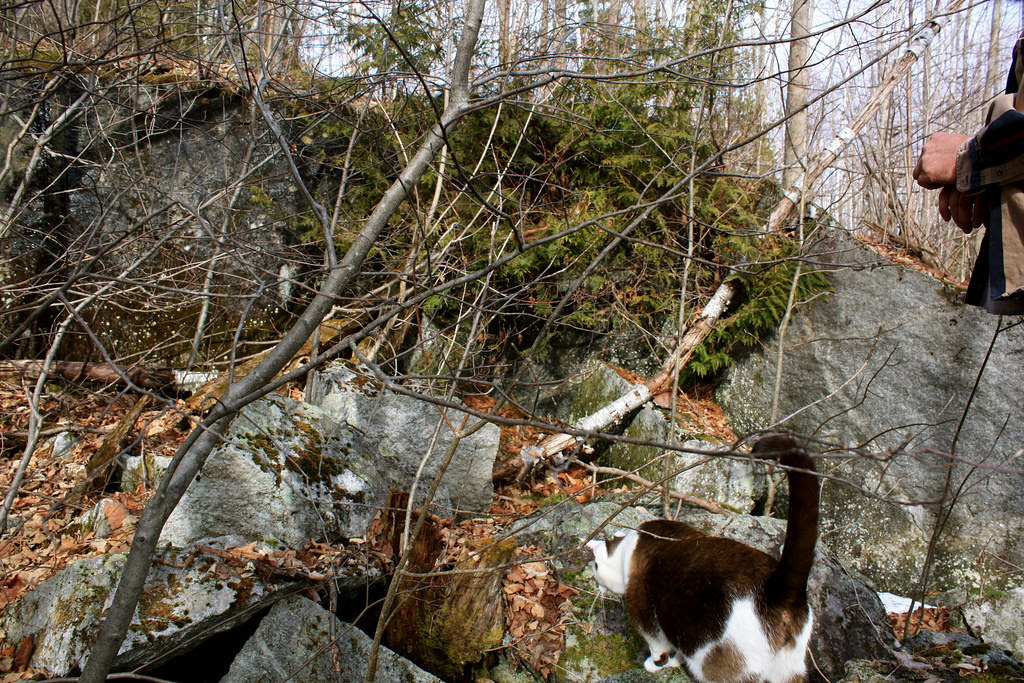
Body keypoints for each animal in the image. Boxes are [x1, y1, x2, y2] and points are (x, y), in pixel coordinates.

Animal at [586, 434, 818, 683]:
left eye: (595, 566)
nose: (597, 585)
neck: (629, 549)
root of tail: (779, 590)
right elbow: (678, 650)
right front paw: (676, 662)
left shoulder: (645, 613)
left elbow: (658, 647)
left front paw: (655, 665)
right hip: (789, 667)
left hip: (720, 661)